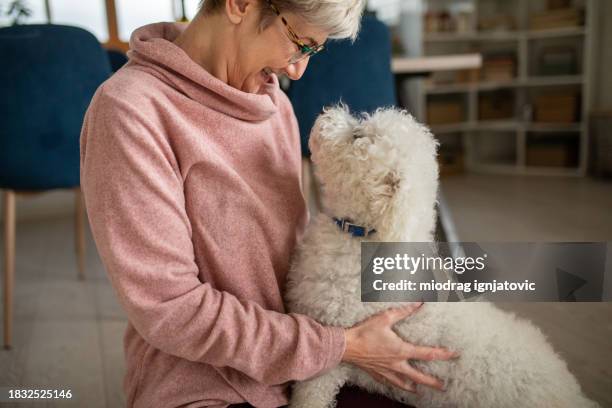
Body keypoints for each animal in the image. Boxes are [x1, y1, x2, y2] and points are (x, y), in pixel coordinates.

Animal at [286, 106, 596, 408]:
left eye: (358, 136)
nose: (326, 114)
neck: (363, 236)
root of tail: (574, 396)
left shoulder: (336, 354)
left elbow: (310, 395)